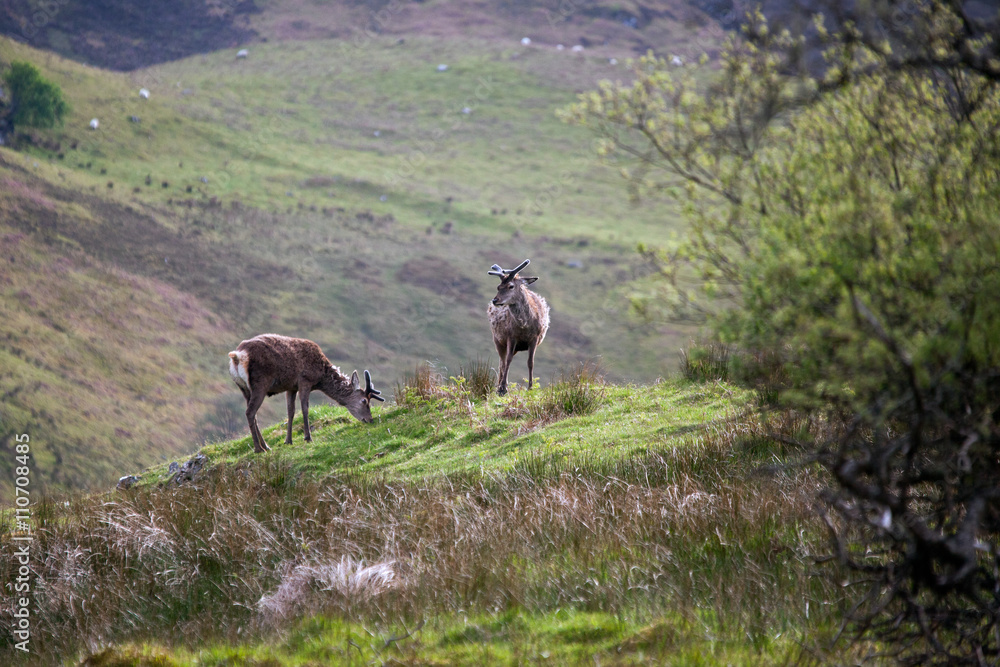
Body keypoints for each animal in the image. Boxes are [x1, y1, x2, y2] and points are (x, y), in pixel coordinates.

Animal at [228, 334, 384, 453]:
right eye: (364, 401)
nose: (370, 419)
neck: (320, 377)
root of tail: (237, 356)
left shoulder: (291, 387)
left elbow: (290, 412)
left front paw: (288, 441)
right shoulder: (305, 380)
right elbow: (305, 408)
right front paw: (308, 437)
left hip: (244, 388)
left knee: (253, 414)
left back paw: (266, 446)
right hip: (260, 384)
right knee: (250, 412)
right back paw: (258, 448)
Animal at [487, 259, 550, 396]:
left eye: (511, 286)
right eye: (498, 287)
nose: (495, 300)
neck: (525, 326)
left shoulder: (535, 338)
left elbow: (530, 362)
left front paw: (530, 387)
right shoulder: (511, 337)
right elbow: (508, 360)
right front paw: (503, 388)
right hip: (497, 339)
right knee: (502, 362)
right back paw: (499, 386)